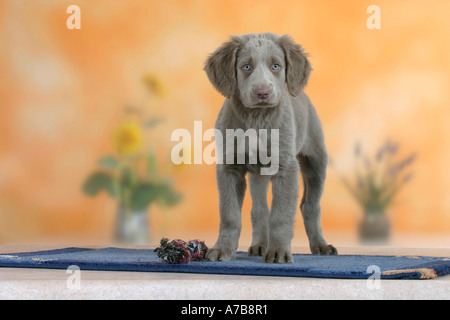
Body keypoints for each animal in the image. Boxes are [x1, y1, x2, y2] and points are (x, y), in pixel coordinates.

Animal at [204, 31, 338, 262]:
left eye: (276, 66)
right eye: (246, 67)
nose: (263, 92)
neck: (257, 118)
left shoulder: (285, 167)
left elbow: (281, 213)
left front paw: (278, 252)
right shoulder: (229, 167)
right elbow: (229, 214)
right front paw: (222, 249)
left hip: (316, 160)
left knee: (310, 206)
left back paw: (321, 246)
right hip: (259, 174)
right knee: (259, 209)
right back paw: (259, 245)